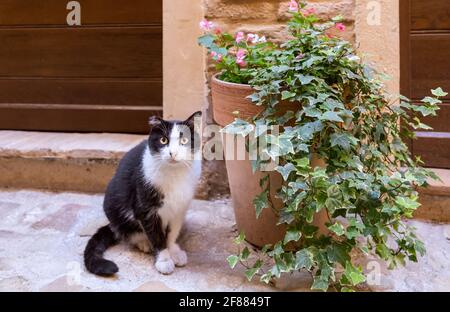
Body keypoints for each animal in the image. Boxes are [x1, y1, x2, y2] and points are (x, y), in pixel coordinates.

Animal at [84, 111, 202, 276]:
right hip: (113, 205)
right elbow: (156, 236)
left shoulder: (180, 208)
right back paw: (143, 242)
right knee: (126, 231)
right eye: (163, 140)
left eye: (184, 140)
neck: (174, 174)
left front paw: (173, 251)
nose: (173, 153)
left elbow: (172, 232)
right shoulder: (145, 208)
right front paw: (164, 260)